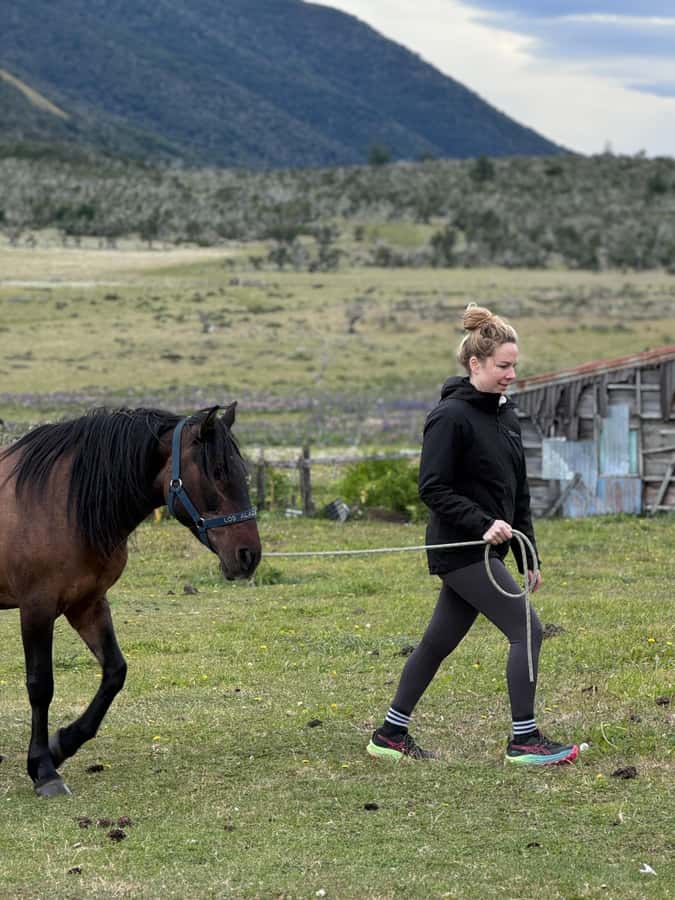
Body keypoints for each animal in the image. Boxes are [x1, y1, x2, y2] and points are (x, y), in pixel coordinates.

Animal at [0, 404, 261, 797]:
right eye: (217, 471)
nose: (249, 556)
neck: (60, 502)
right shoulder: (37, 608)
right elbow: (40, 685)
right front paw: (44, 769)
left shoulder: (87, 604)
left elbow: (115, 672)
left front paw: (63, 744)